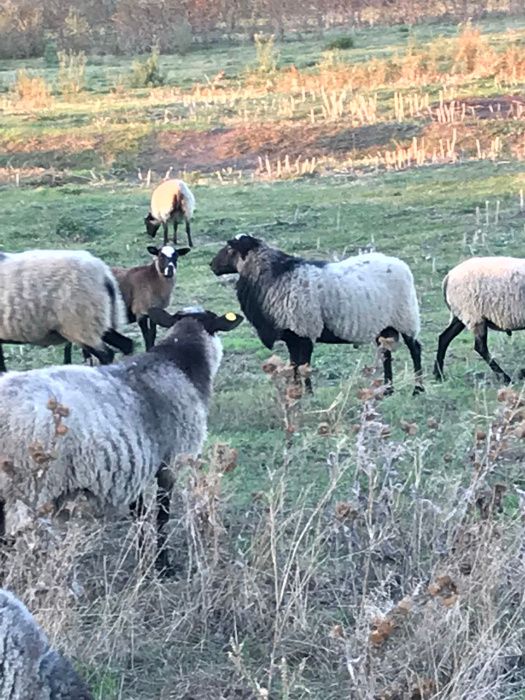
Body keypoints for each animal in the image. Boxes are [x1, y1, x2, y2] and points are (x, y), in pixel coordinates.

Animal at [0, 306, 244, 576]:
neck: (180, 363)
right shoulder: (171, 461)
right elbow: (162, 514)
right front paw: (163, 564)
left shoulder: (134, 461)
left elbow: (138, 513)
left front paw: (143, 556)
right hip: (32, 484)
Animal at [209, 235, 422, 396]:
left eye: (230, 248)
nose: (211, 265)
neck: (273, 276)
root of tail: (400, 264)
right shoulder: (291, 335)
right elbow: (294, 365)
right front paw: (296, 394)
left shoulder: (304, 330)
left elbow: (304, 365)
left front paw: (309, 395)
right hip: (384, 325)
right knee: (386, 354)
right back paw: (388, 390)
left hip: (406, 317)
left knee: (415, 349)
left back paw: (418, 389)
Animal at [432, 254, 524, 382]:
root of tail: (449, 276)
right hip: (474, 315)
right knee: (480, 347)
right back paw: (504, 377)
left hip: (460, 315)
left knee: (444, 338)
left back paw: (438, 374)